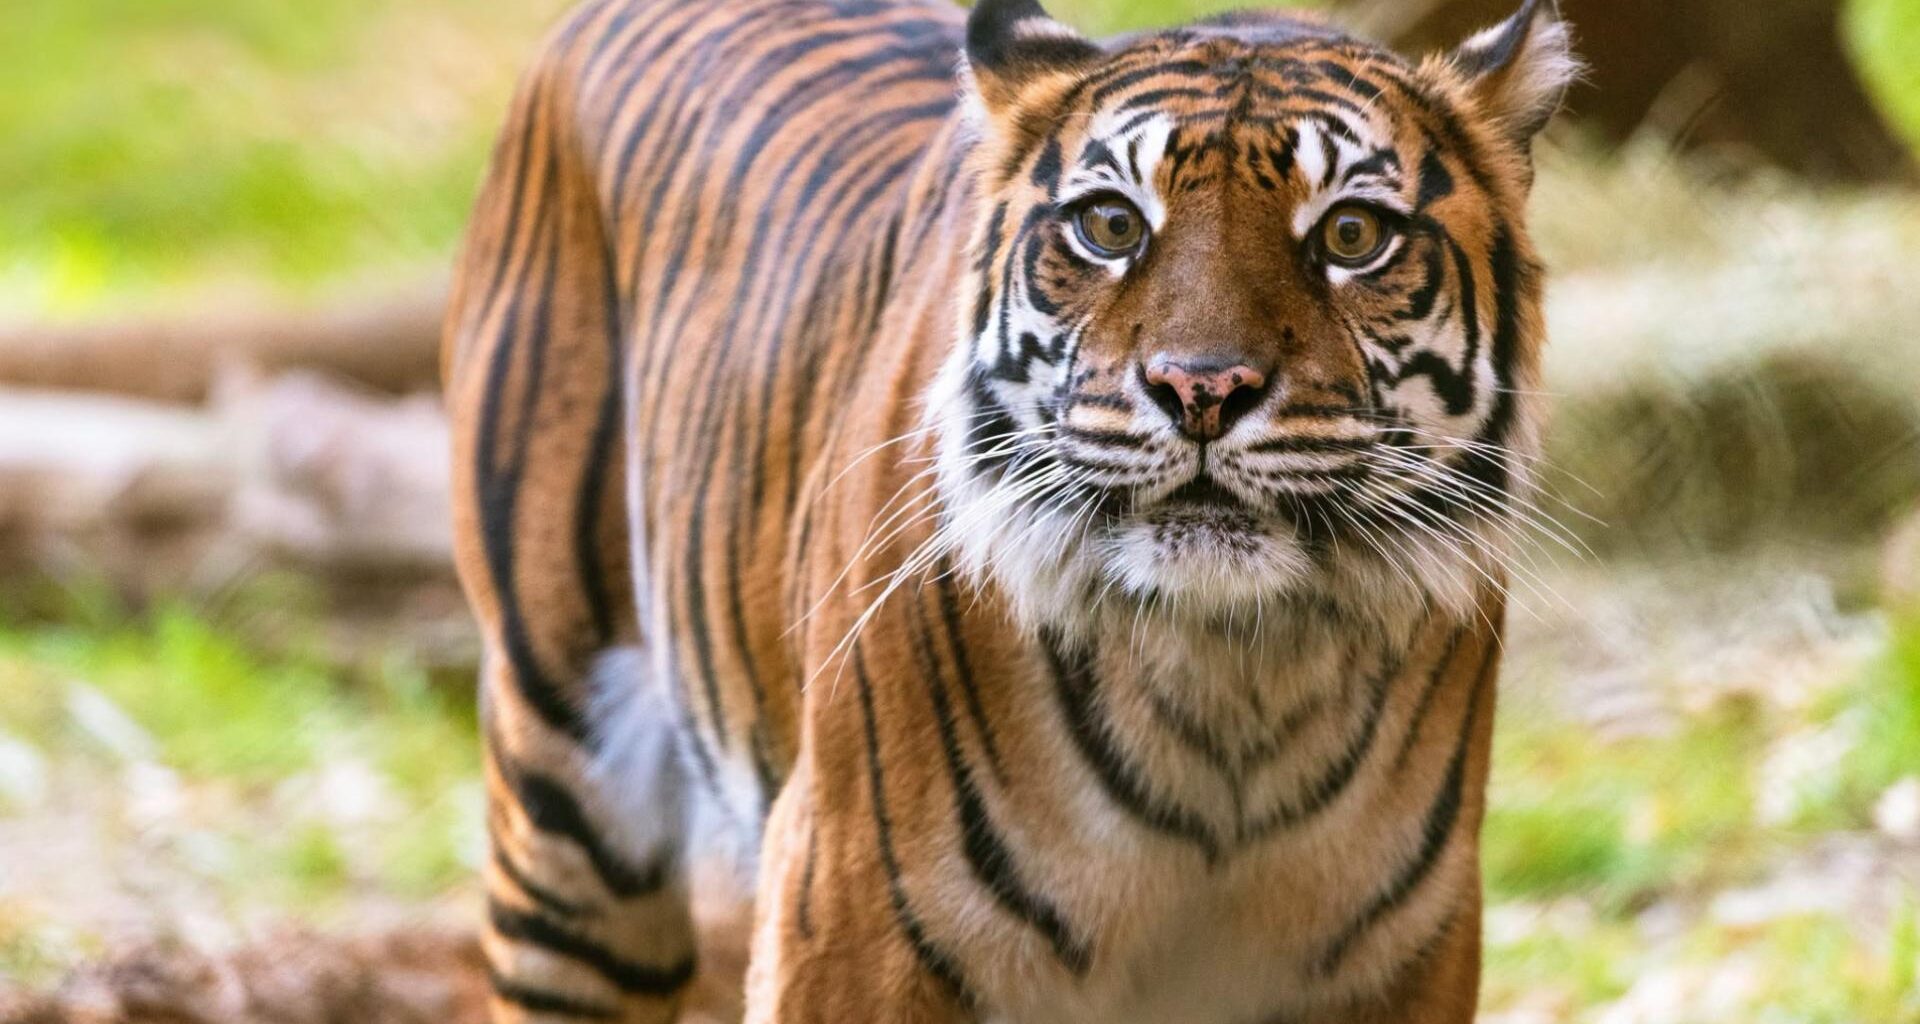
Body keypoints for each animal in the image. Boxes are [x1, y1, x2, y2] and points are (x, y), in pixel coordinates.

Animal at [442, 0, 1577, 1020]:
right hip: (569, 816)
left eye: (1351, 234)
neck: (1230, 691)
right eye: (1112, 225)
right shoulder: (850, 920)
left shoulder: (1407, 950)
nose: (1201, 387)